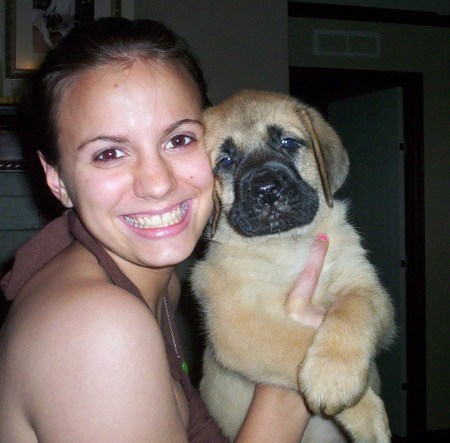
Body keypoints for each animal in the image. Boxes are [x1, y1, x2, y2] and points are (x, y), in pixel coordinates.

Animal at [192, 91, 396, 443]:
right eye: (226, 161)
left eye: (288, 142)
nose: (267, 189)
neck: (286, 245)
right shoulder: (237, 323)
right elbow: (295, 343)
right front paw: (354, 401)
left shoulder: (367, 289)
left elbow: (352, 311)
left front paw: (333, 373)